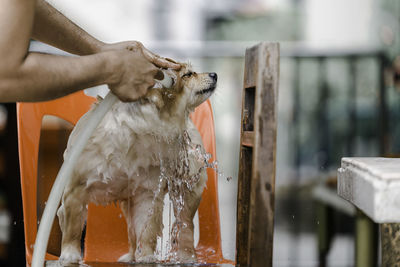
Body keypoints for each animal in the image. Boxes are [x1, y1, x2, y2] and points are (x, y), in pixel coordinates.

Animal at [57, 64, 216, 264]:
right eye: (188, 74)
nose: (214, 74)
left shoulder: (147, 194)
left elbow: (146, 231)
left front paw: (147, 256)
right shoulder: (75, 190)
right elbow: (72, 229)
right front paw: (69, 254)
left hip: (186, 192)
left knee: (186, 226)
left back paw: (187, 257)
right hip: (128, 203)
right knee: (132, 233)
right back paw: (131, 256)